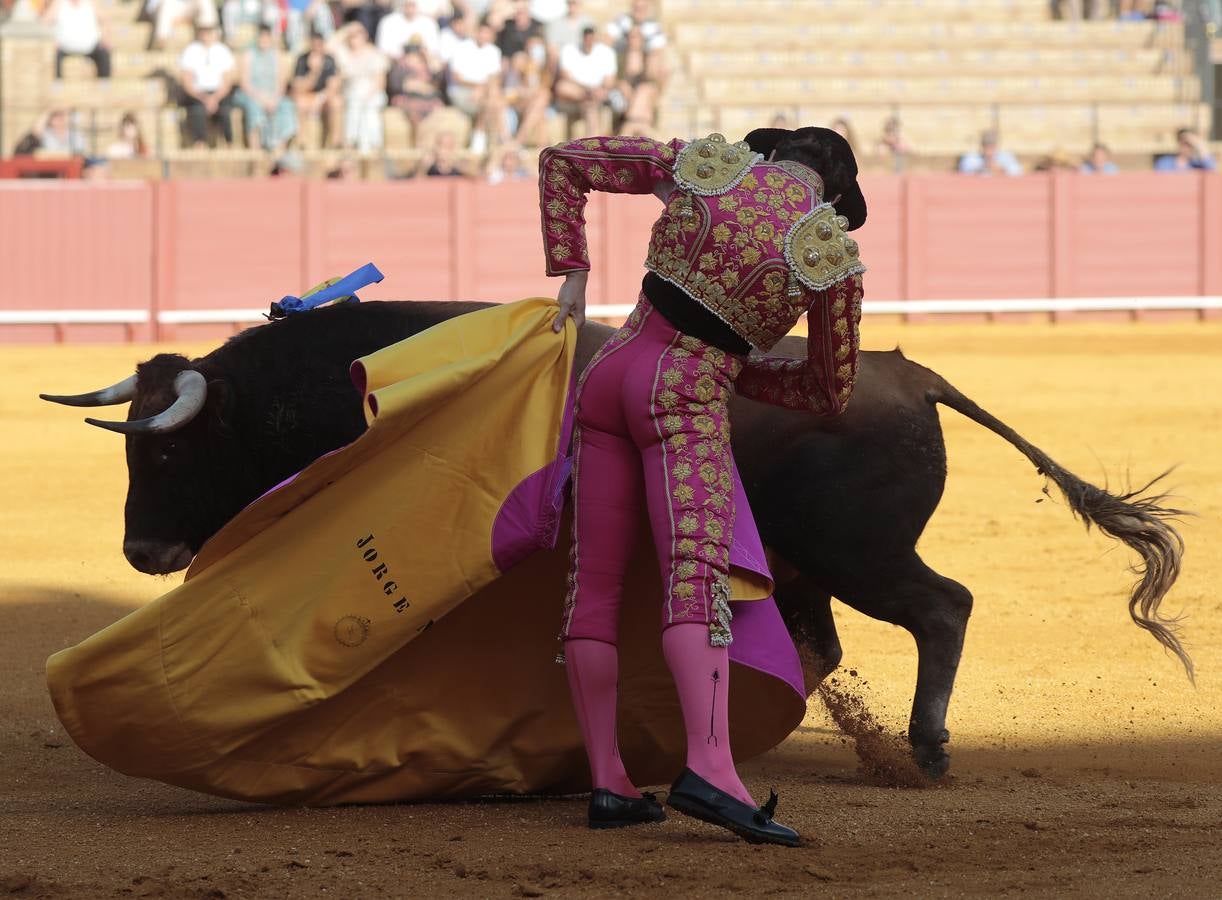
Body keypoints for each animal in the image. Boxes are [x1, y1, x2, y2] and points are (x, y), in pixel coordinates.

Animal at [43, 298, 1187, 777]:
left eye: (169, 456)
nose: (142, 555)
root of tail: (916, 374)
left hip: (859, 554)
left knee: (942, 607)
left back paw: (927, 746)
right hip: (807, 564)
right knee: (823, 643)